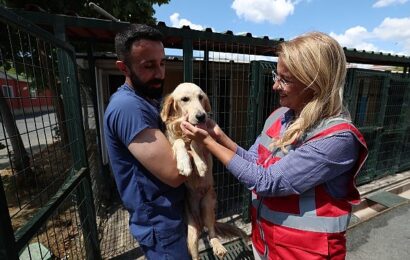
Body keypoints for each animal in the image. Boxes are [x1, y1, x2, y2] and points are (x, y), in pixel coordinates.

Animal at [160, 83, 247, 260]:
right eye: (185, 99)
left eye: (201, 97)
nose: (201, 116)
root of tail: (199, 221)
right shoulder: (171, 143)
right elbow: (179, 142)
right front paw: (185, 164)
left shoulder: (206, 143)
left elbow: (196, 142)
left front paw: (200, 165)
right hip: (191, 232)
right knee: (195, 254)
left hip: (208, 206)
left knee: (211, 232)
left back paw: (218, 246)